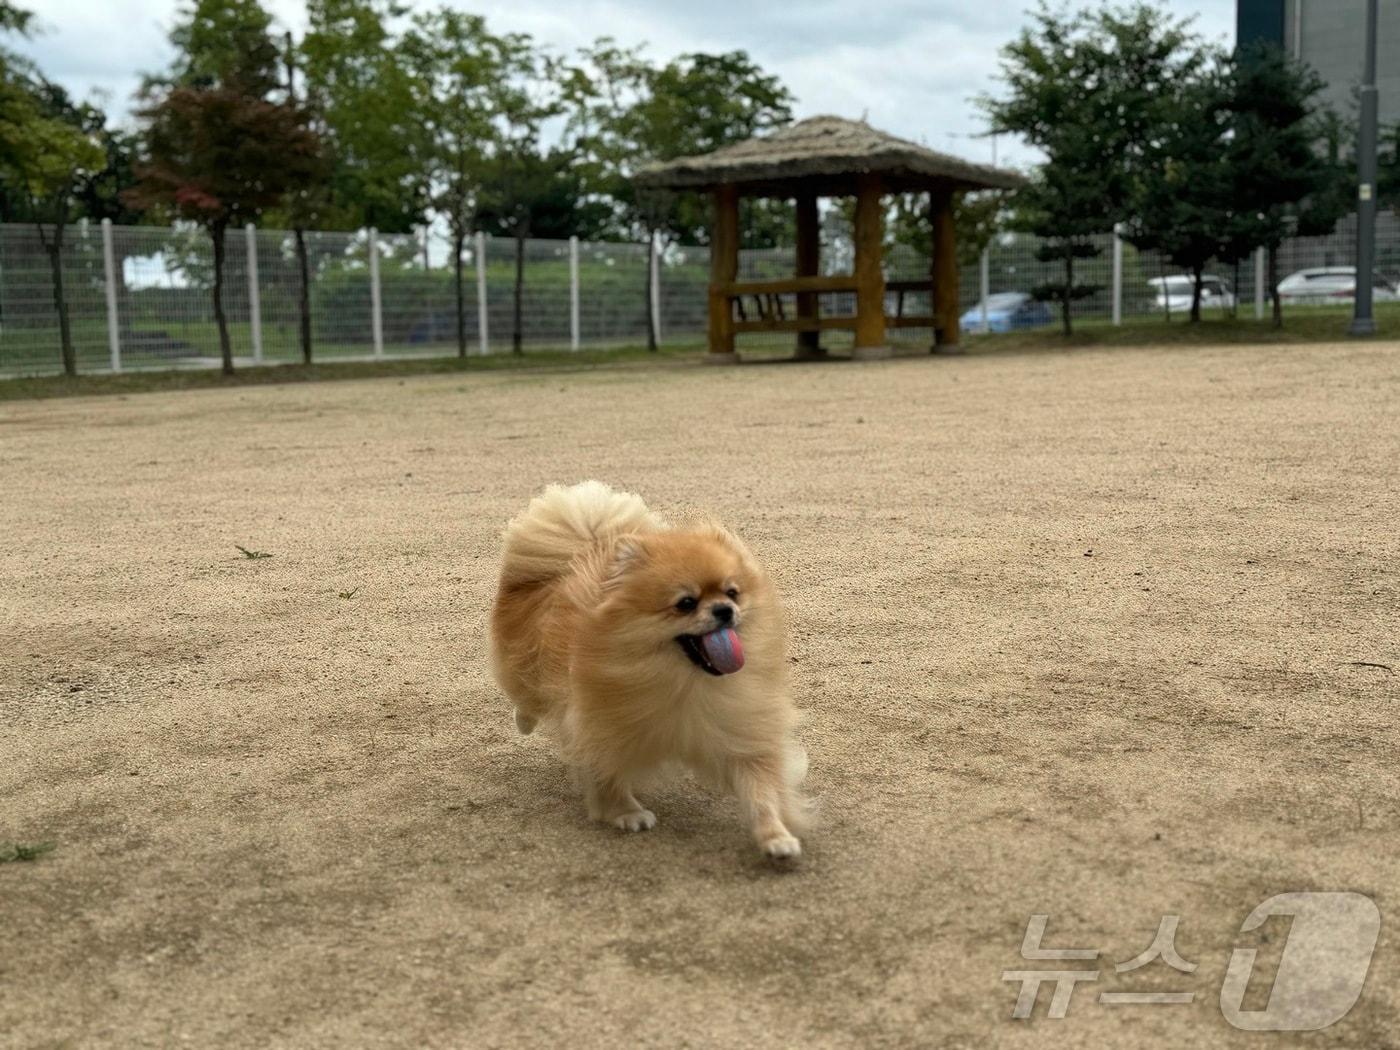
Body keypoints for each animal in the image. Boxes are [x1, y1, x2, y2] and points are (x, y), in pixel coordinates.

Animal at [490, 481, 812, 856]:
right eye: (686, 603)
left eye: (733, 592)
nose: (724, 610)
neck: (685, 681)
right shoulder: (599, 724)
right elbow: (607, 773)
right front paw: (626, 812)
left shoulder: (740, 726)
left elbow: (760, 788)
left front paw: (775, 836)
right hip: (526, 667)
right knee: (527, 697)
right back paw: (523, 721)